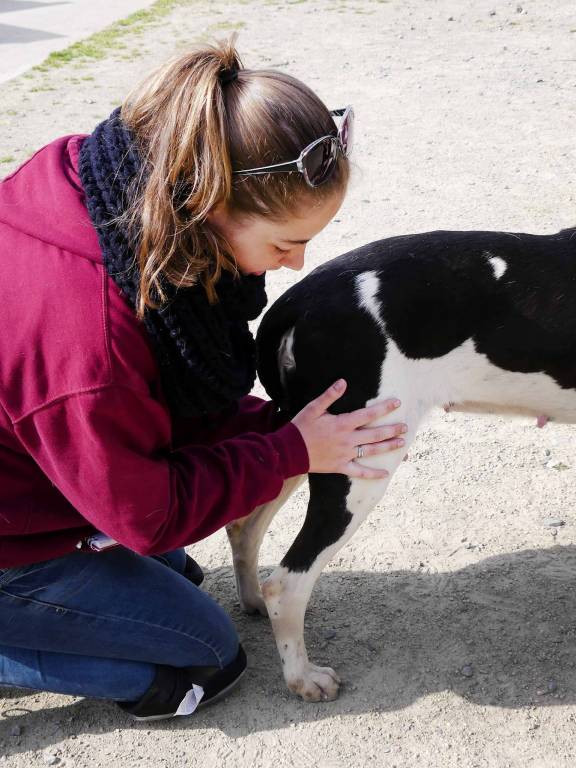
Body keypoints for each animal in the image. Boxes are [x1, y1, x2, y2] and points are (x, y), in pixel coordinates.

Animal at [225, 226, 576, 704]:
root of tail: (298, 298)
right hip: (358, 468)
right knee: (288, 581)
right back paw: (303, 676)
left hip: (310, 438)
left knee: (246, 526)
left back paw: (253, 600)